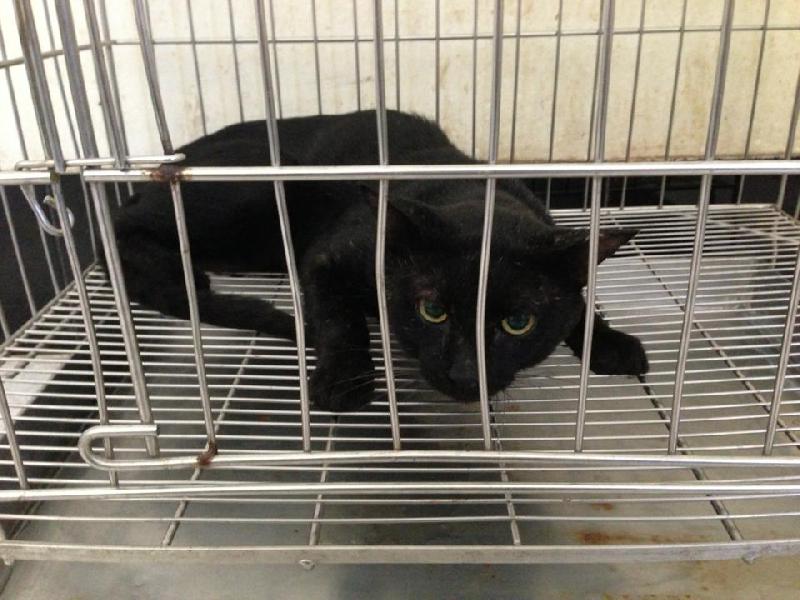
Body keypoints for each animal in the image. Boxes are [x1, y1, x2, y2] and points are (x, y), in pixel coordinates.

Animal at [113, 110, 648, 411]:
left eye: (519, 322)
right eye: (432, 310)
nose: (464, 374)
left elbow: (582, 303)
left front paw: (611, 343)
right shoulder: (330, 256)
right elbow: (340, 318)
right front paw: (344, 381)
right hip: (257, 193)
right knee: (122, 227)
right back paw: (181, 275)